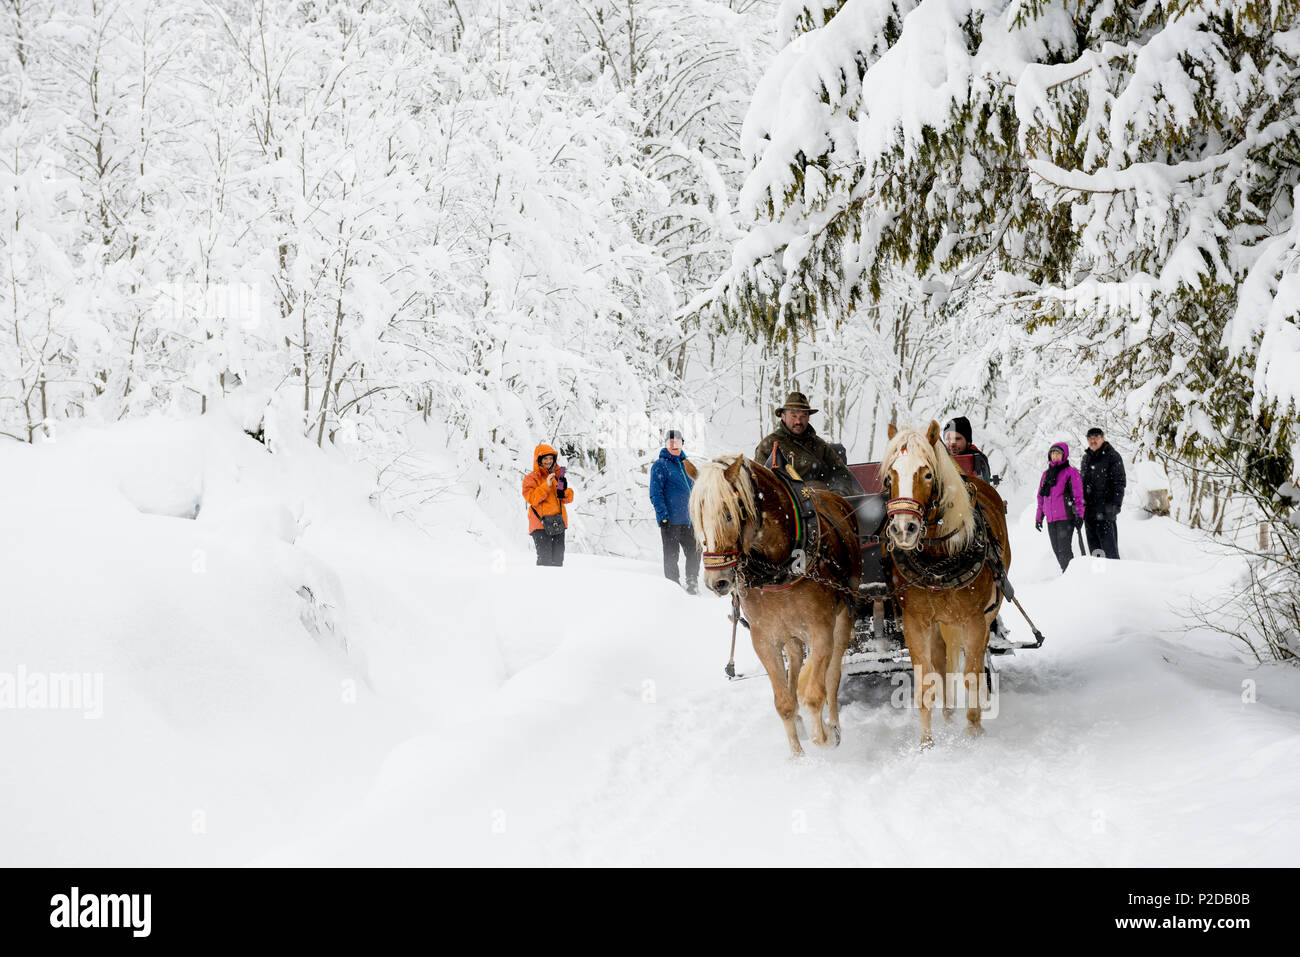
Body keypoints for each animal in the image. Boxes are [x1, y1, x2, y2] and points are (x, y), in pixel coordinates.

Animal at [681, 455, 863, 754]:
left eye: (729, 514)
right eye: (698, 518)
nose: (716, 581)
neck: (779, 568)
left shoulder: (821, 630)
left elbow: (816, 691)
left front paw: (824, 736)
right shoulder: (764, 638)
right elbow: (784, 704)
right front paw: (797, 755)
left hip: (844, 615)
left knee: (832, 673)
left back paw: (833, 724)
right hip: (788, 631)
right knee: (796, 659)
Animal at [878, 421, 1008, 748]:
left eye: (927, 474)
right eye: (890, 477)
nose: (903, 529)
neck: (937, 562)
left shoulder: (973, 619)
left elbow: (972, 674)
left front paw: (974, 731)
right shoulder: (916, 621)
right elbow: (926, 682)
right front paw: (927, 743)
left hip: (986, 614)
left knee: (974, 660)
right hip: (939, 623)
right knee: (941, 662)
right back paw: (948, 715)